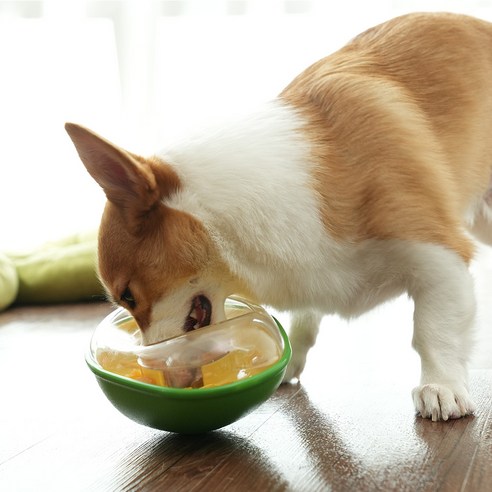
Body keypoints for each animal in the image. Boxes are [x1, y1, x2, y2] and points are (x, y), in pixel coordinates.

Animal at [67, 11, 492, 420]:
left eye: (127, 295)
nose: (165, 378)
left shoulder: (440, 258)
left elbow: (431, 332)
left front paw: (440, 387)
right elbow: (303, 325)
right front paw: (285, 368)